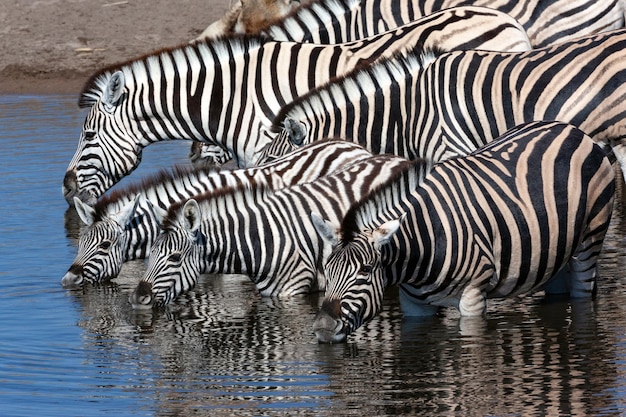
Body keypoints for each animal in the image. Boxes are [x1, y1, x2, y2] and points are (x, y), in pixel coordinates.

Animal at [128, 151, 410, 308]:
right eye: (150, 253)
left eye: (175, 258)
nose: (138, 300)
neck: (260, 239)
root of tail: (396, 158)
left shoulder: (293, 291)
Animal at [310, 120, 612, 342]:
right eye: (327, 270)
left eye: (365, 270)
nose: (323, 327)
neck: (421, 243)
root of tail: (572, 129)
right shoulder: (414, 306)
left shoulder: (473, 299)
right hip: (553, 252)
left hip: (589, 242)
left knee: (583, 295)